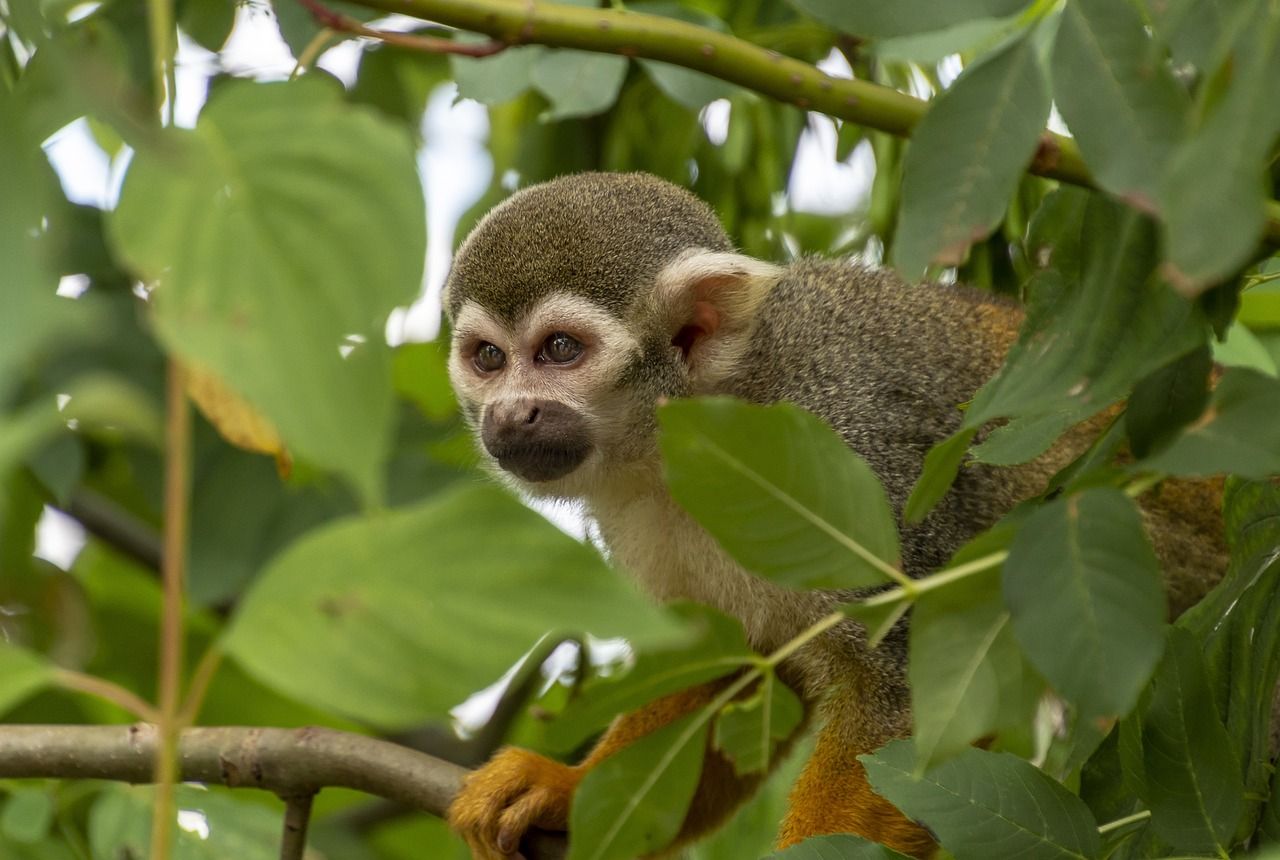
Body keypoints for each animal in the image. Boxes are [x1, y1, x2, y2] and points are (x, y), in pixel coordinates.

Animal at [442, 171, 1228, 854]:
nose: (510, 415)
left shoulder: (849, 445)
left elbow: (910, 690)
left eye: (560, 350)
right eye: (489, 358)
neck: (695, 429)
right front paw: (565, 788)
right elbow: (733, 673)